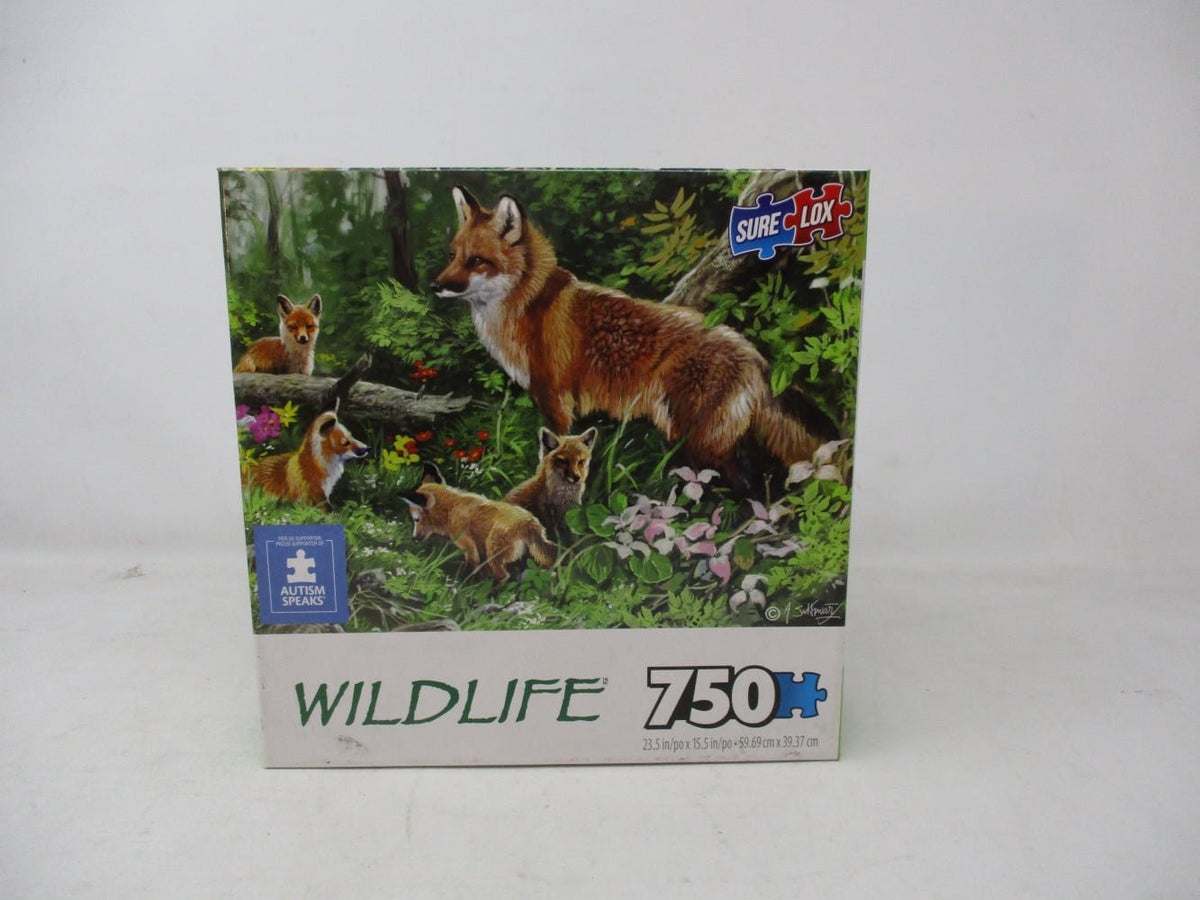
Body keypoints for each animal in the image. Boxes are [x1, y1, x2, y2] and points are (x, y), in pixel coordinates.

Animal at [403, 463, 557, 584]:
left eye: (416, 519)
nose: (414, 538)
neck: (451, 509)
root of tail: (528, 524)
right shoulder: (480, 551)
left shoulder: (469, 548)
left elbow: (469, 573)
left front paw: (461, 588)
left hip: (493, 553)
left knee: (503, 576)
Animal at [431, 187, 838, 492]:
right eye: (452, 255)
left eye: (476, 261)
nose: (436, 286)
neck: (527, 306)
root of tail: (755, 355)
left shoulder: (554, 399)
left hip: (697, 441)